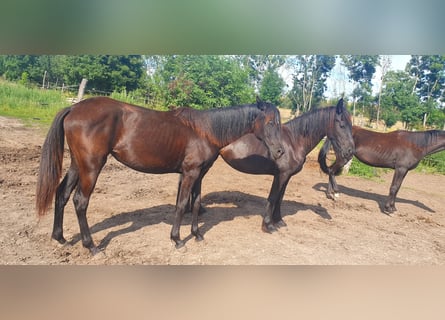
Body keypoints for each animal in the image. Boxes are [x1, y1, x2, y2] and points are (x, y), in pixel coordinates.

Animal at [36, 96, 282, 254]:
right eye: (270, 123)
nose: (280, 151)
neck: (205, 131)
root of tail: (73, 109)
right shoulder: (190, 173)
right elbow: (182, 204)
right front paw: (177, 240)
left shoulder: (199, 174)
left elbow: (195, 204)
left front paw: (196, 235)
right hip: (91, 167)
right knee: (80, 201)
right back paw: (92, 246)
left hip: (77, 165)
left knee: (62, 194)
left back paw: (60, 237)